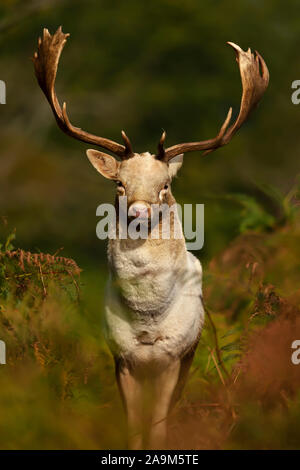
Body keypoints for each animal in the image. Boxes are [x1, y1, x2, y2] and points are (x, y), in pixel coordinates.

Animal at [33, 26, 270, 448]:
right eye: (119, 184)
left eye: (165, 186)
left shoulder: (174, 357)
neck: (146, 324)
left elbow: (158, 429)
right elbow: (133, 428)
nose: (138, 213)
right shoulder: (121, 357)